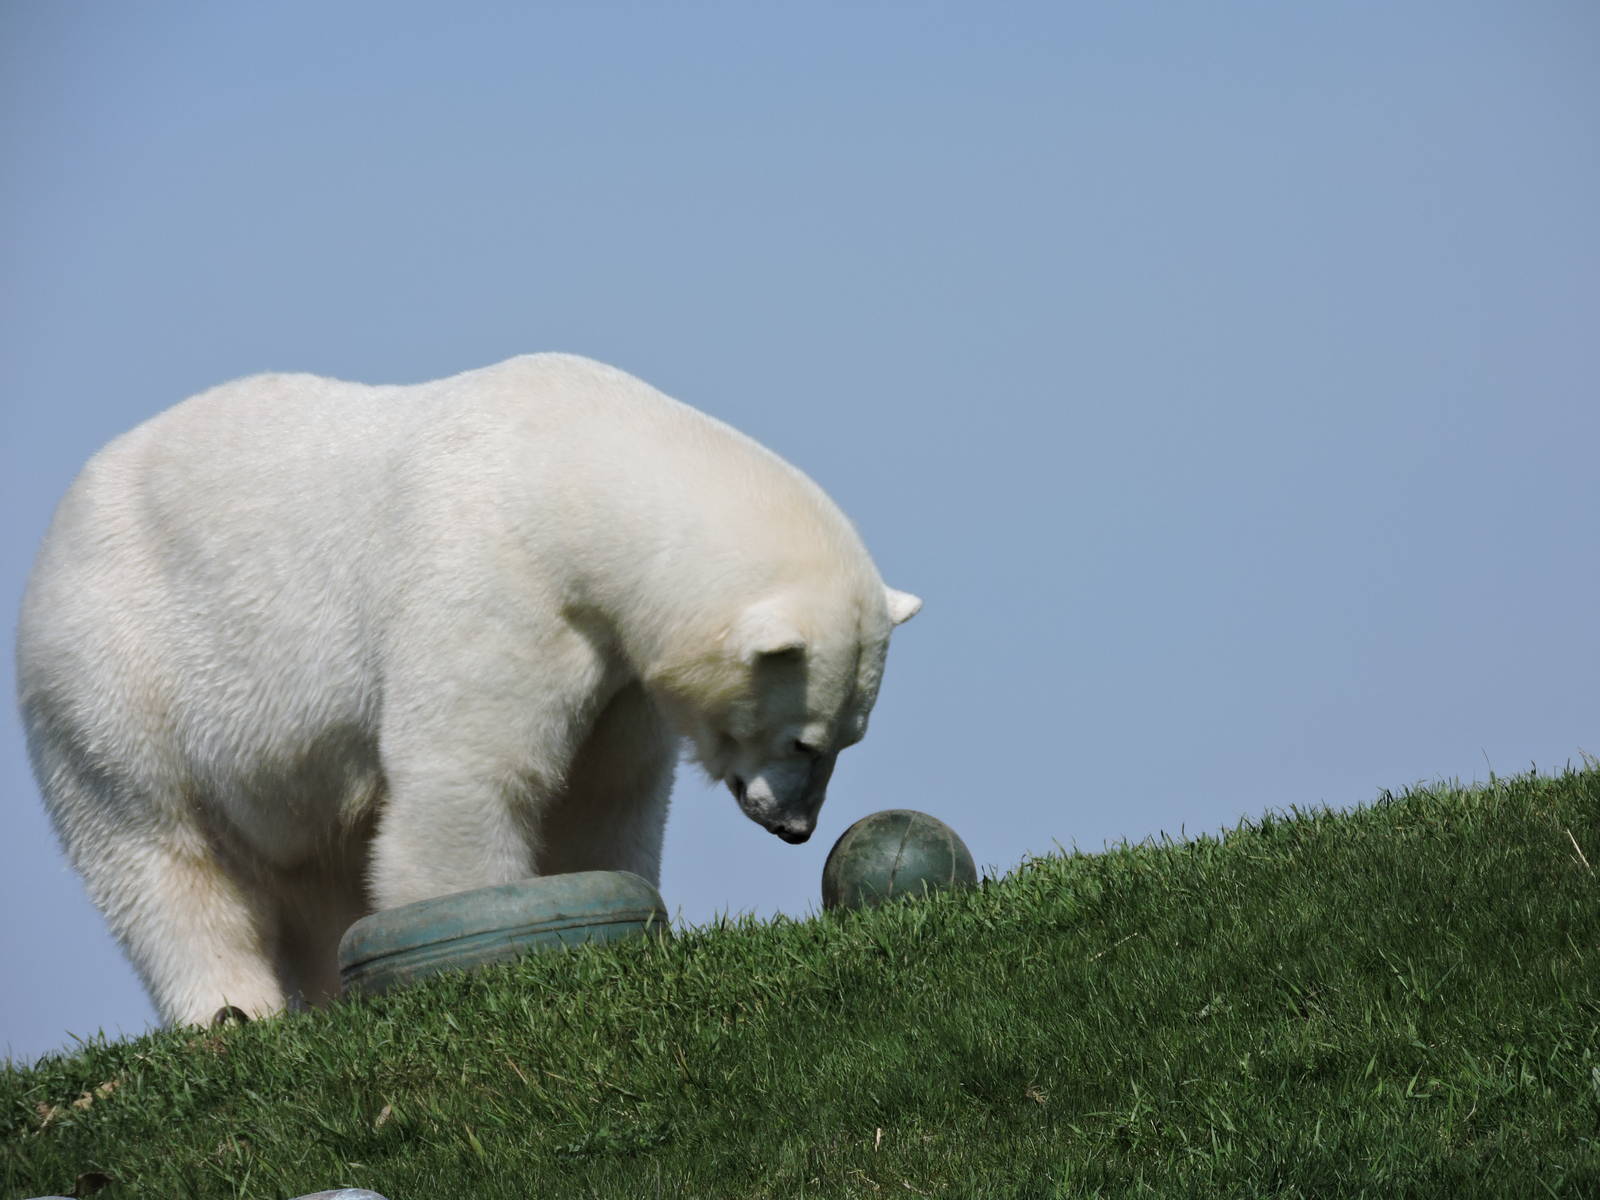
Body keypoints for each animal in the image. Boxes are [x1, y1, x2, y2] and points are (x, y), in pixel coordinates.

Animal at [16, 353, 920, 1026]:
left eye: (851, 738)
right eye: (804, 738)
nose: (797, 830)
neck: (563, 466)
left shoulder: (613, 661)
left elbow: (605, 791)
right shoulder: (494, 574)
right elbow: (474, 769)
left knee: (315, 867)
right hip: (110, 676)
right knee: (157, 855)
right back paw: (232, 1010)